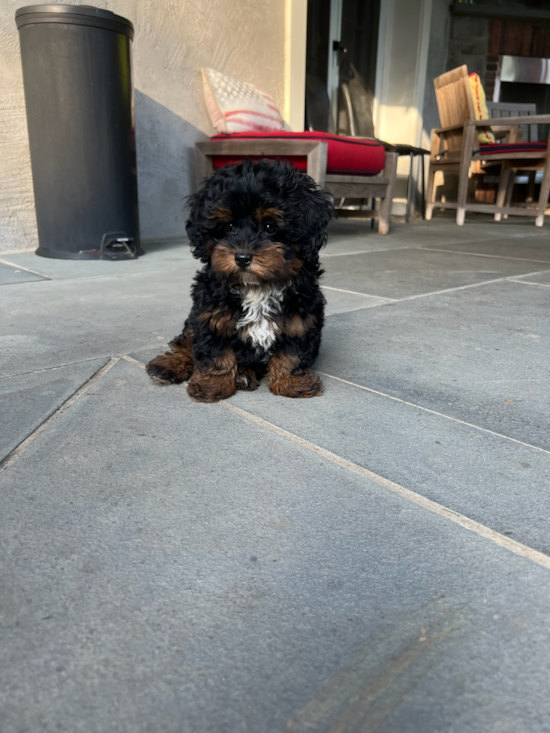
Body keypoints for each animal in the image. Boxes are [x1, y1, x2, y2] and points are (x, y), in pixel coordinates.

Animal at [146, 157, 332, 404]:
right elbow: (216, 356)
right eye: (229, 226)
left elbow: (292, 354)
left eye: (270, 226)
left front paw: (292, 383)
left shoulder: (301, 320)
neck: (257, 287)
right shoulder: (210, 317)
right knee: (186, 341)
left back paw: (244, 374)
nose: (242, 257)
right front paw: (212, 385)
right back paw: (167, 366)